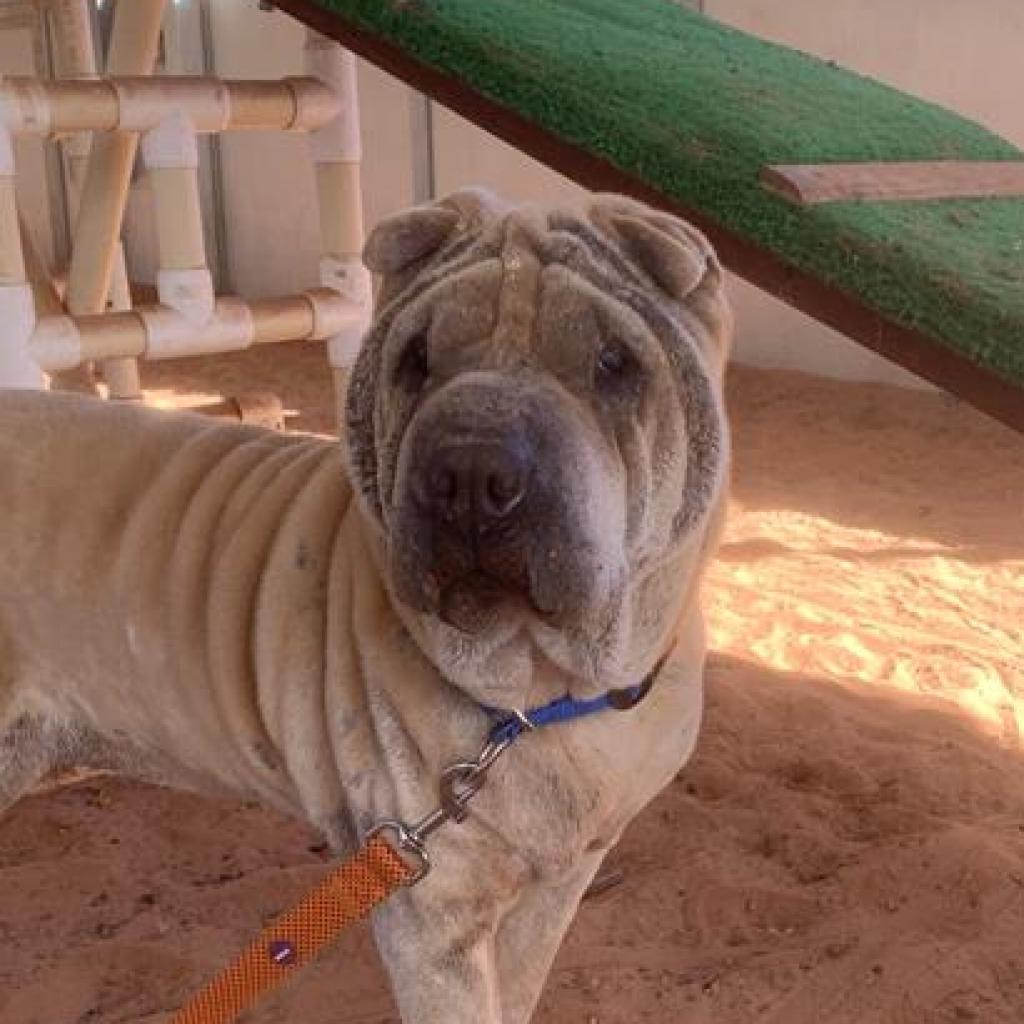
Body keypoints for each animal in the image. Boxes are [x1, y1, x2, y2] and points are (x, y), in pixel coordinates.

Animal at [0, 192, 729, 1024]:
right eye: (415, 359)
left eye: (614, 363)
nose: (472, 473)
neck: (540, 703)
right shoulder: (430, 910)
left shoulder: (560, 882)